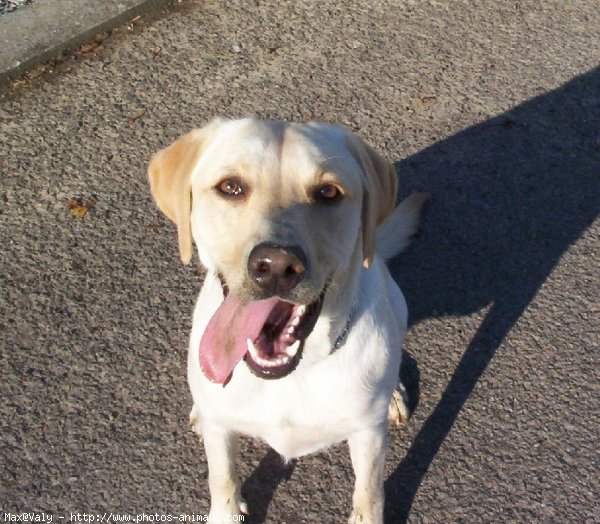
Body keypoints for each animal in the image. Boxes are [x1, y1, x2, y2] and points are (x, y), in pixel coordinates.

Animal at [148, 118, 424, 524]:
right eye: (230, 187)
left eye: (328, 192)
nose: (276, 266)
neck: (291, 375)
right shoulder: (222, 438)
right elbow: (223, 480)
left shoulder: (368, 440)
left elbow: (369, 495)